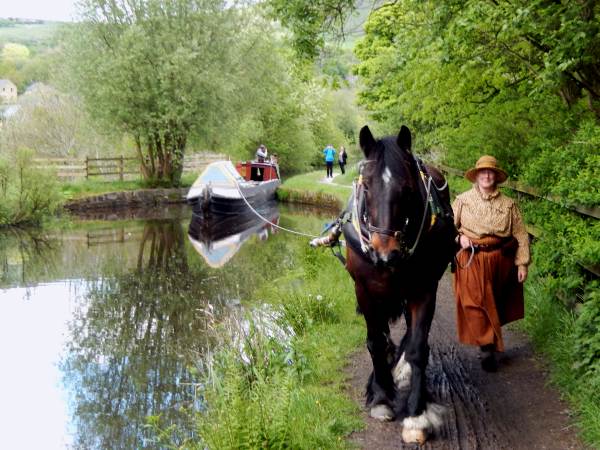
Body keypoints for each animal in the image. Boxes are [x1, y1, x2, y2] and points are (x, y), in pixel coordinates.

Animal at [340, 125, 452, 444]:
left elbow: (418, 347)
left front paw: (416, 414)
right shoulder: (364, 289)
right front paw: (380, 397)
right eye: (366, 187)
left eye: (408, 189)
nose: (384, 253)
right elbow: (375, 342)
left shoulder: (424, 289)